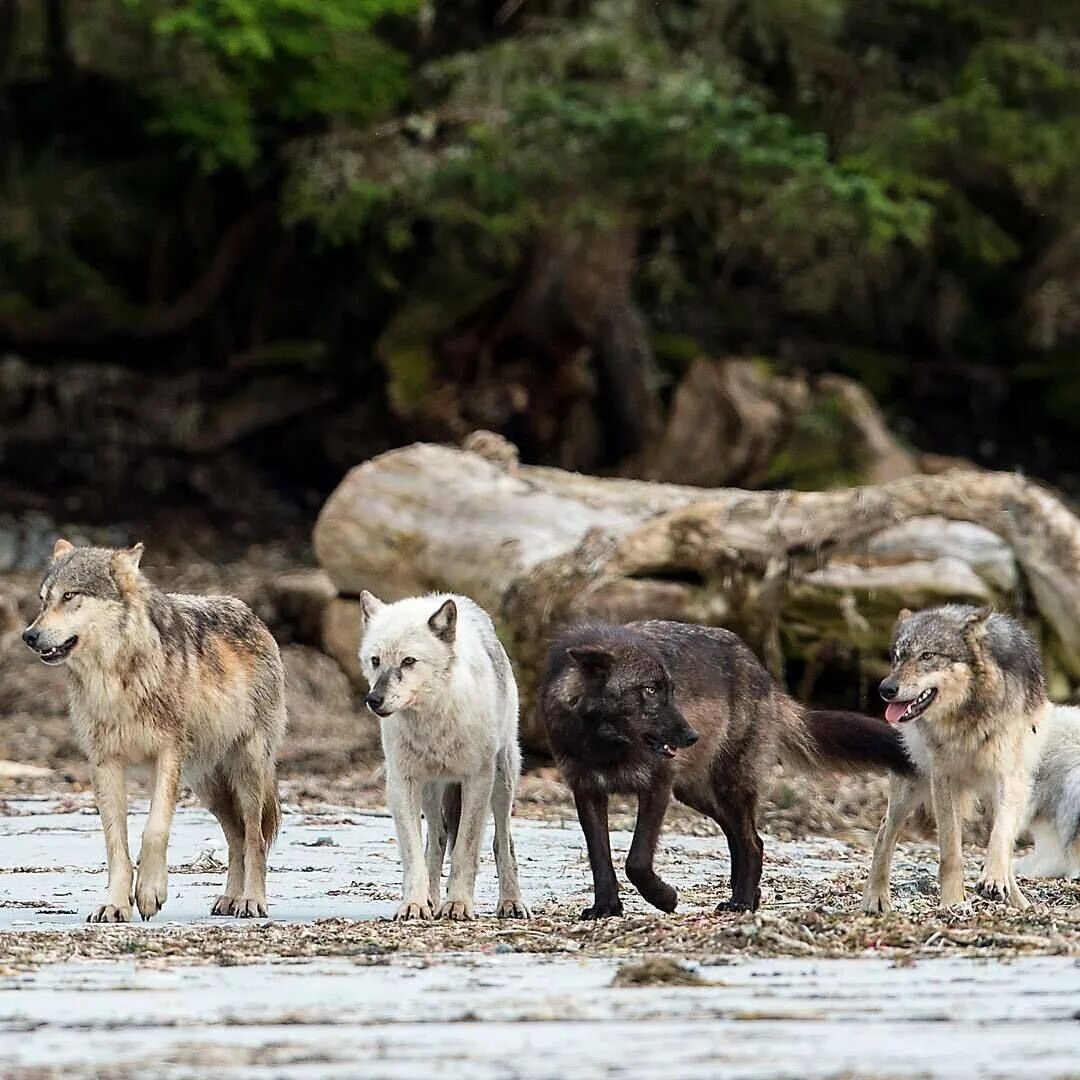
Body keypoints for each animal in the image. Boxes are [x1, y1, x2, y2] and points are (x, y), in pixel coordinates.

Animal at [23, 540, 285, 920]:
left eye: (70, 595)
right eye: (43, 600)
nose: (28, 636)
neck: (116, 679)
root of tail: (251, 613)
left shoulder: (168, 754)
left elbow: (155, 829)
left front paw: (149, 892)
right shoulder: (104, 763)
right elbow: (115, 844)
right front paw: (115, 905)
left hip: (247, 771)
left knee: (255, 838)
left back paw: (251, 901)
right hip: (207, 786)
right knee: (235, 838)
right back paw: (230, 899)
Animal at [356, 591, 529, 920]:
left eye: (408, 661)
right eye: (375, 661)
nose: (374, 699)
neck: (432, 721)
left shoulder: (478, 779)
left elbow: (466, 850)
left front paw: (459, 904)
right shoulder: (402, 783)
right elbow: (414, 855)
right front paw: (414, 903)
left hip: (503, 780)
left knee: (503, 842)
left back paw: (511, 902)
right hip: (431, 790)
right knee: (437, 839)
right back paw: (432, 900)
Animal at [540, 622, 911, 915]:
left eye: (671, 691)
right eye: (648, 690)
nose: (691, 736)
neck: (603, 746)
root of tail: (764, 675)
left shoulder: (658, 786)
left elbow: (637, 861)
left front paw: (664, 898)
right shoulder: (587, 791)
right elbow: (600, 859)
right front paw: (606, 908)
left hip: (726, 787)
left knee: (753, 842)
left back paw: (742, 902)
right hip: (699, 794)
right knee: (741, 839)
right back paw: (747, 895)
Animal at [859, 604, 1045, 915]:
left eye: (927, 656)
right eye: (896, 657)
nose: (885, 689)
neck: (969, 715)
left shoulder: (1008, 777)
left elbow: (1000, 838)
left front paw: (993, 880)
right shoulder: (943, 780)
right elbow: (951, 852)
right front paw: (953, 902)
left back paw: (1018, 900)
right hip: (909, 789)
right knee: (884, 832)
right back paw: (876, 898)